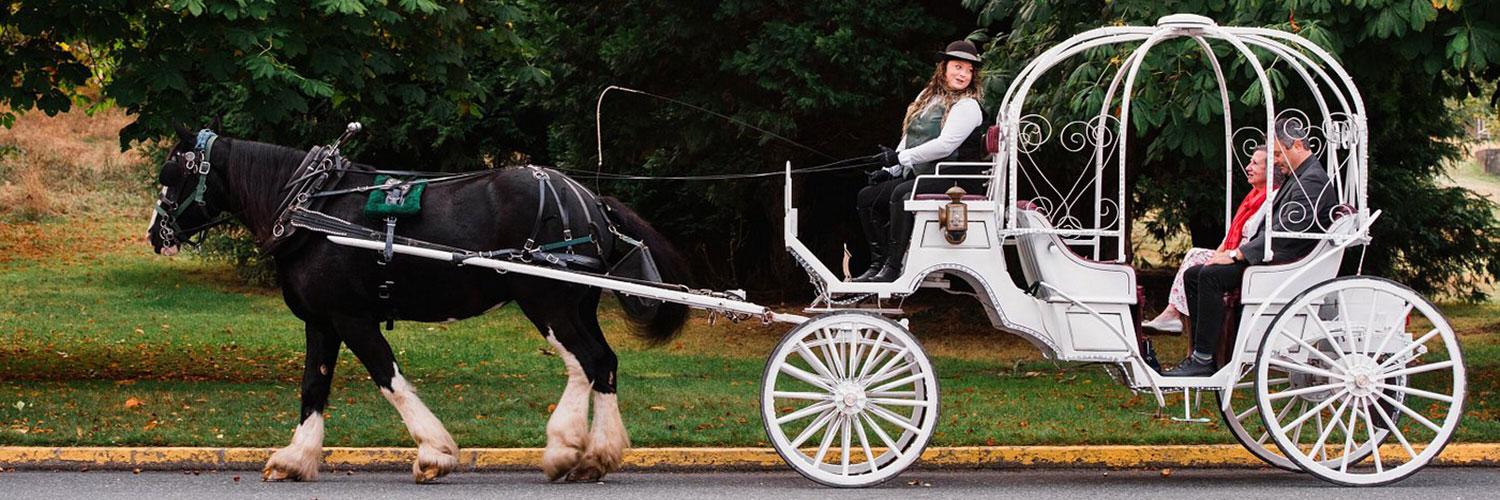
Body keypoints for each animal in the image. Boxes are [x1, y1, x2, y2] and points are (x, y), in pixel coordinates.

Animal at [147, 122, 690, 480]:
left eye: (171, 173)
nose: (155, 233)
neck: (310, 207)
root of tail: (589, 200)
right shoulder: (321, 321)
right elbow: (312, 387)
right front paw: (295, 458)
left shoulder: (351, 317)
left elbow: (389, 379)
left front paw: (434, 452)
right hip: (576, 305)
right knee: (605, 363)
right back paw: (599, 454)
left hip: (548, 303)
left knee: (585, 362)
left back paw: (566, 450)